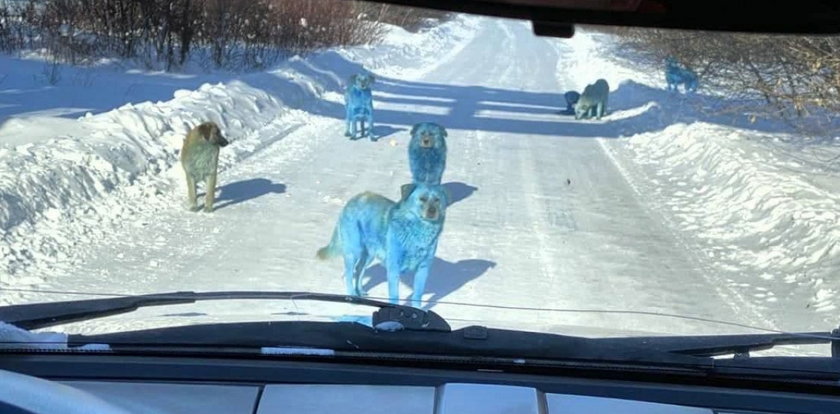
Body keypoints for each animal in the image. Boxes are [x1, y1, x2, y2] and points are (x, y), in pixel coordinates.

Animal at [316, 184, 450, 308]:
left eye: (437, 199)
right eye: (422, 198)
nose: (432, 211)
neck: (418, 231)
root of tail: (353, 199)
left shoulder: (423, 267)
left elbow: (417, 294)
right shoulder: (394, 267)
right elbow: (395, 295)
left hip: (369, 254)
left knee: (359, 270)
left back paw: (360, 293)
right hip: (354, 251)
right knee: (348, 275)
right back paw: (352, 297)